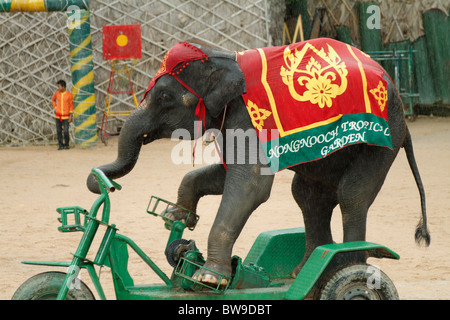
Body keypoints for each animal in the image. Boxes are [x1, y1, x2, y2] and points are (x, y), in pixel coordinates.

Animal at [87, 38, 428, 286]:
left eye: (165, 98)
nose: (98, 181)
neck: (223, 58)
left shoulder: (249, 118)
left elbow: (250, 185)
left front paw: (209, 278)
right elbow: (222, 176)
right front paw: (176, 216)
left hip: (381, 140)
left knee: (351, 194)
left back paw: (346, 265)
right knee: (307, 195)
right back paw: (303, 270)